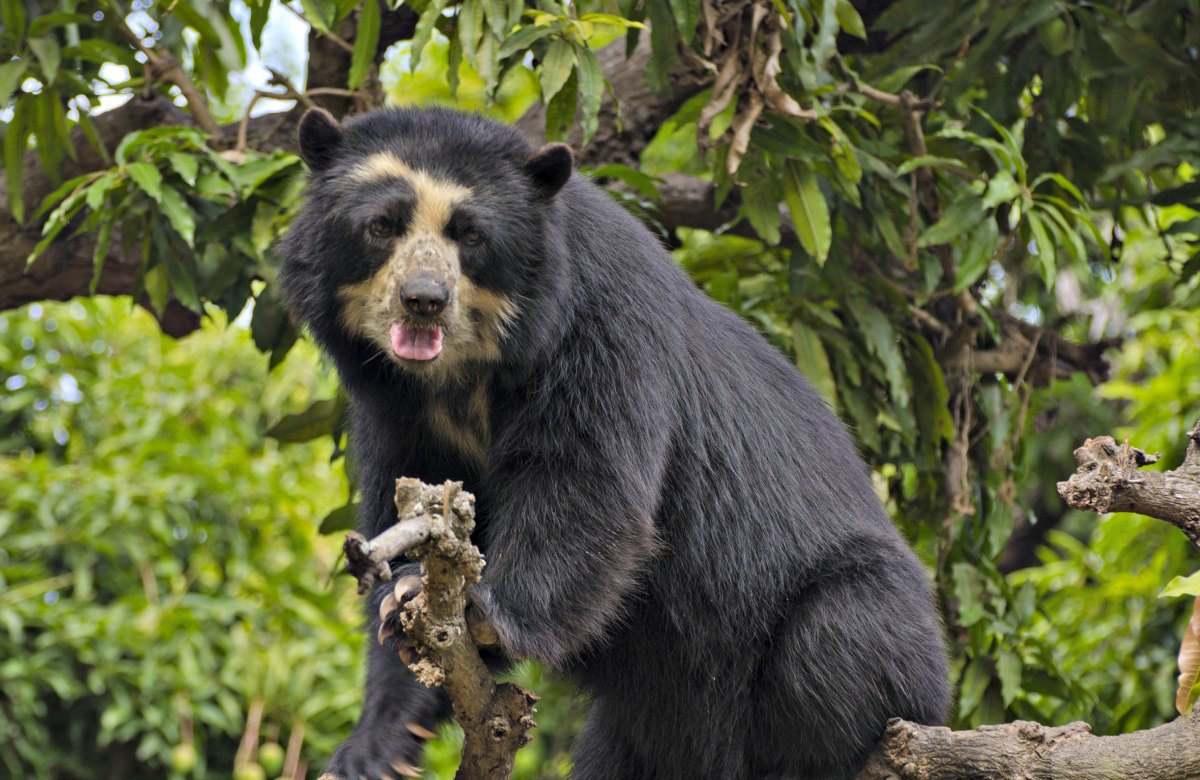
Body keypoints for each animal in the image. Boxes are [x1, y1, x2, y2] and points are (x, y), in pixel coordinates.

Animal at [280, 106, 950, 780]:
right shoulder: (393, 408)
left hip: (859, 628)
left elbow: (584, 481)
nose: (424, 301)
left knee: (836, 638)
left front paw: (483, 613)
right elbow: (407, 511)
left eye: (470, 235)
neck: (462, 377)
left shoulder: (600, 325)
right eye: (382, 226)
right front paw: (377, 729)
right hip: (636, 728)